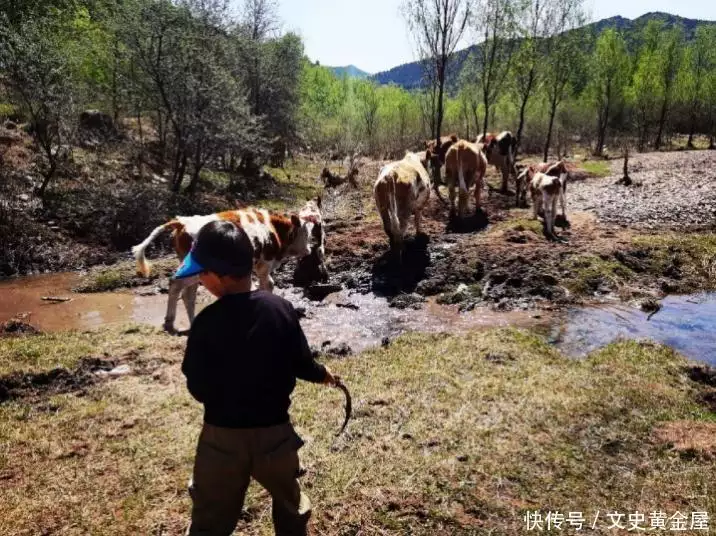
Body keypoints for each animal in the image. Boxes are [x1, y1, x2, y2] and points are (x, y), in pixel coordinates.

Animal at [130, 199, 326, 332]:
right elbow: (268, 285)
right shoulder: (264, 265)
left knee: (187, 294)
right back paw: (170, 322)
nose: (309, 249)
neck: (273, 229)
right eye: (306, 232)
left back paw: (192, 322)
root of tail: (182, 221)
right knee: (176, 285)